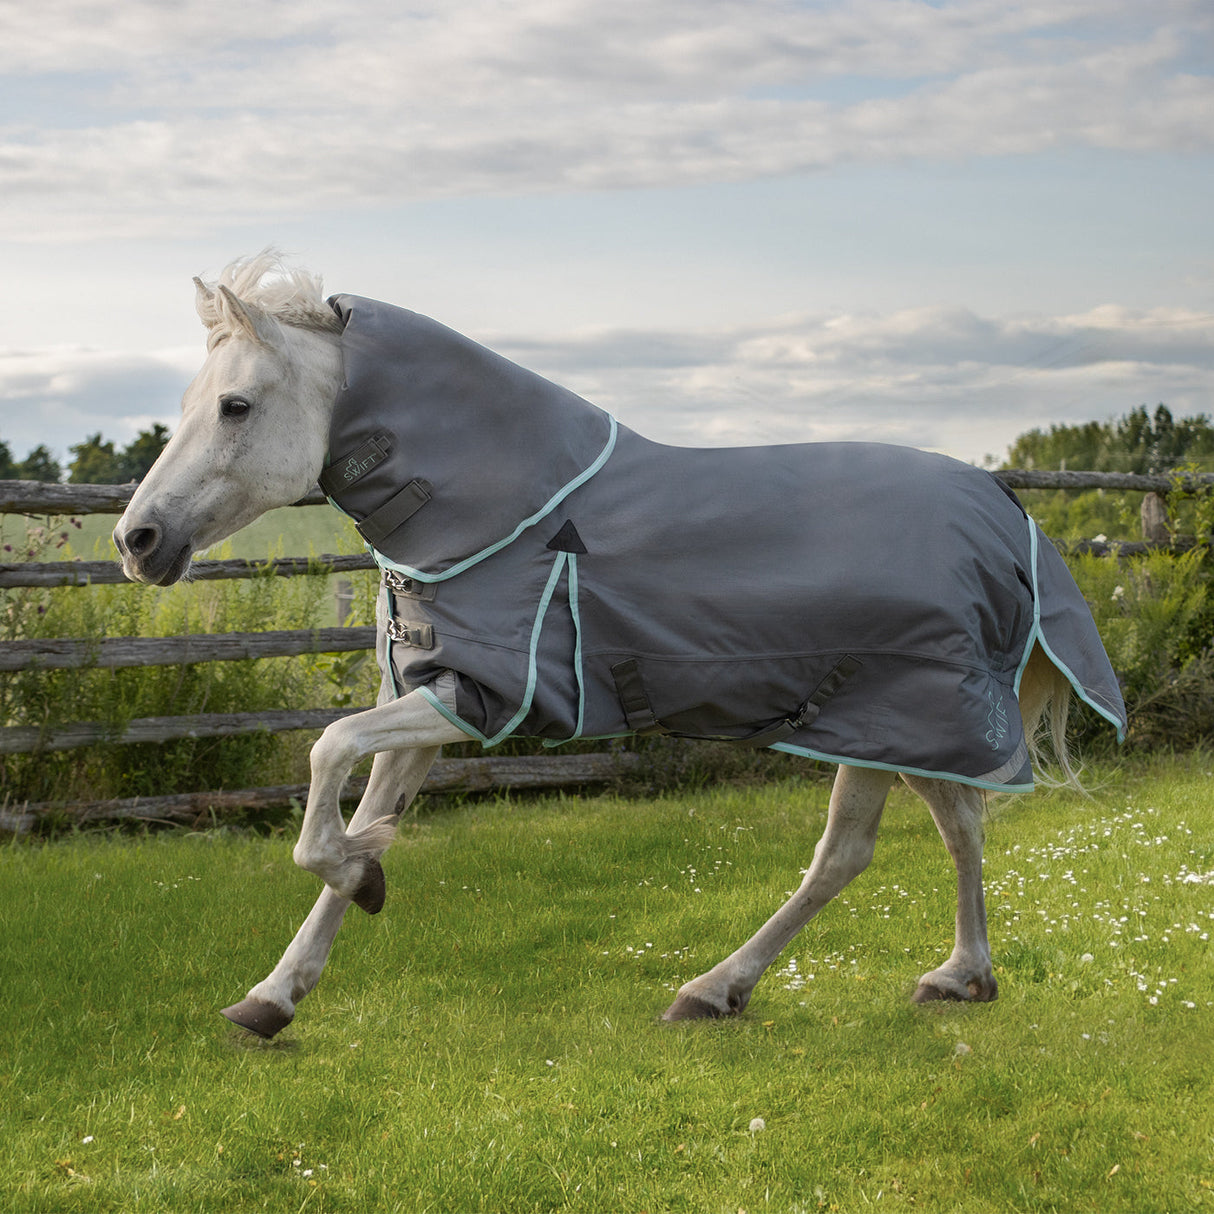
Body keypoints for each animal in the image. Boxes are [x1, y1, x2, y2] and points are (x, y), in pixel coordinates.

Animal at [114, 253, 1125, 1039]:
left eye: (235, 405)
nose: (138, 541)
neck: (512, 513)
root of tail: (1003, 508)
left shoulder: (479, 696)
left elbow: (327, 761)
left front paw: (358, 880)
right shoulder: (433, 696)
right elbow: (361, 812)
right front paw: (276, 994)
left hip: (896, 713)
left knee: (858, 851)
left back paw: (718, 989)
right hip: (889, 724)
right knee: (942, 832)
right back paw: (952, 978)